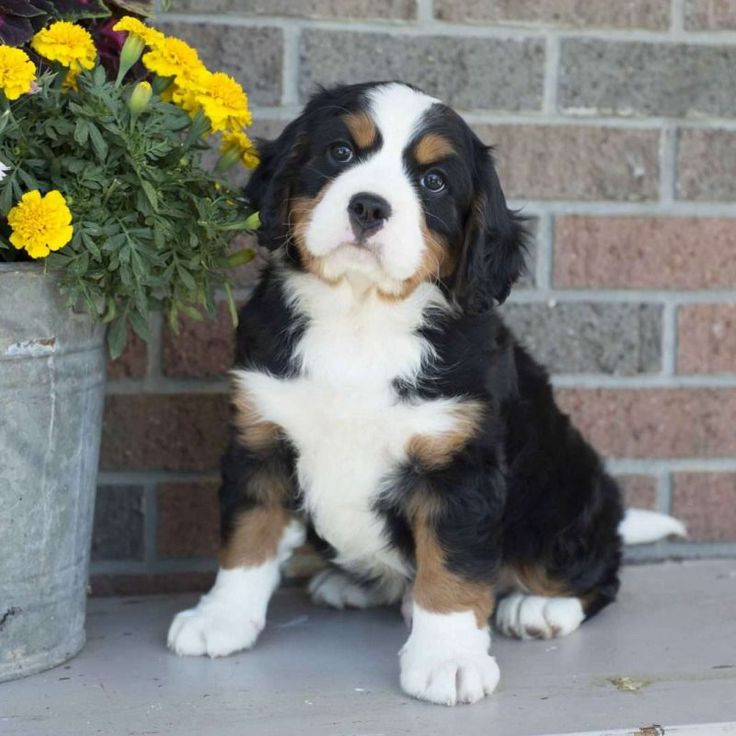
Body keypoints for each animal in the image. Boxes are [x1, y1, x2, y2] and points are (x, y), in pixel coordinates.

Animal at [167, 80, 684, 708]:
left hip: (564, 493)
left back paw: (541, 607)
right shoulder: (261, 437)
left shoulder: (457, 466)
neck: (360, 316)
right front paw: (220, 618)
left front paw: (448, 660)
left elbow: (453, 570)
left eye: (434, 181)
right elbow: (248, 537)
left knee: (597, 575)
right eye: (340, 152)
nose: (368, 206)